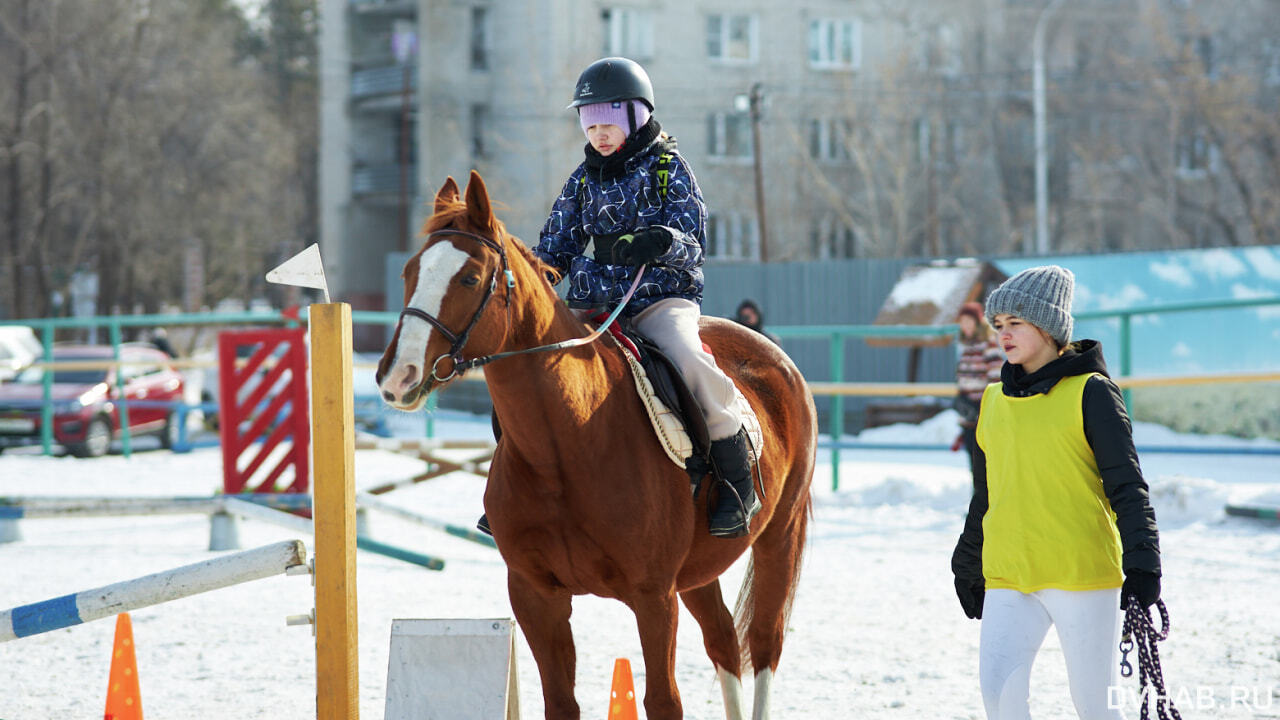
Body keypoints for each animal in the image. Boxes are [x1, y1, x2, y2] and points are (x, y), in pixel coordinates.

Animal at [378, 170, 819, 712]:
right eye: (410, 271)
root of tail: (776, 359)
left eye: (468, 278)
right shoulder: (536, 596)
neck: (566, 447)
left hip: (779, 537)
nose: (398, 375)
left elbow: (663, 701)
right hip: (698, 572)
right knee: (722, 641)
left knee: (762, 645)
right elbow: (561, 701)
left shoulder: (653, 597)